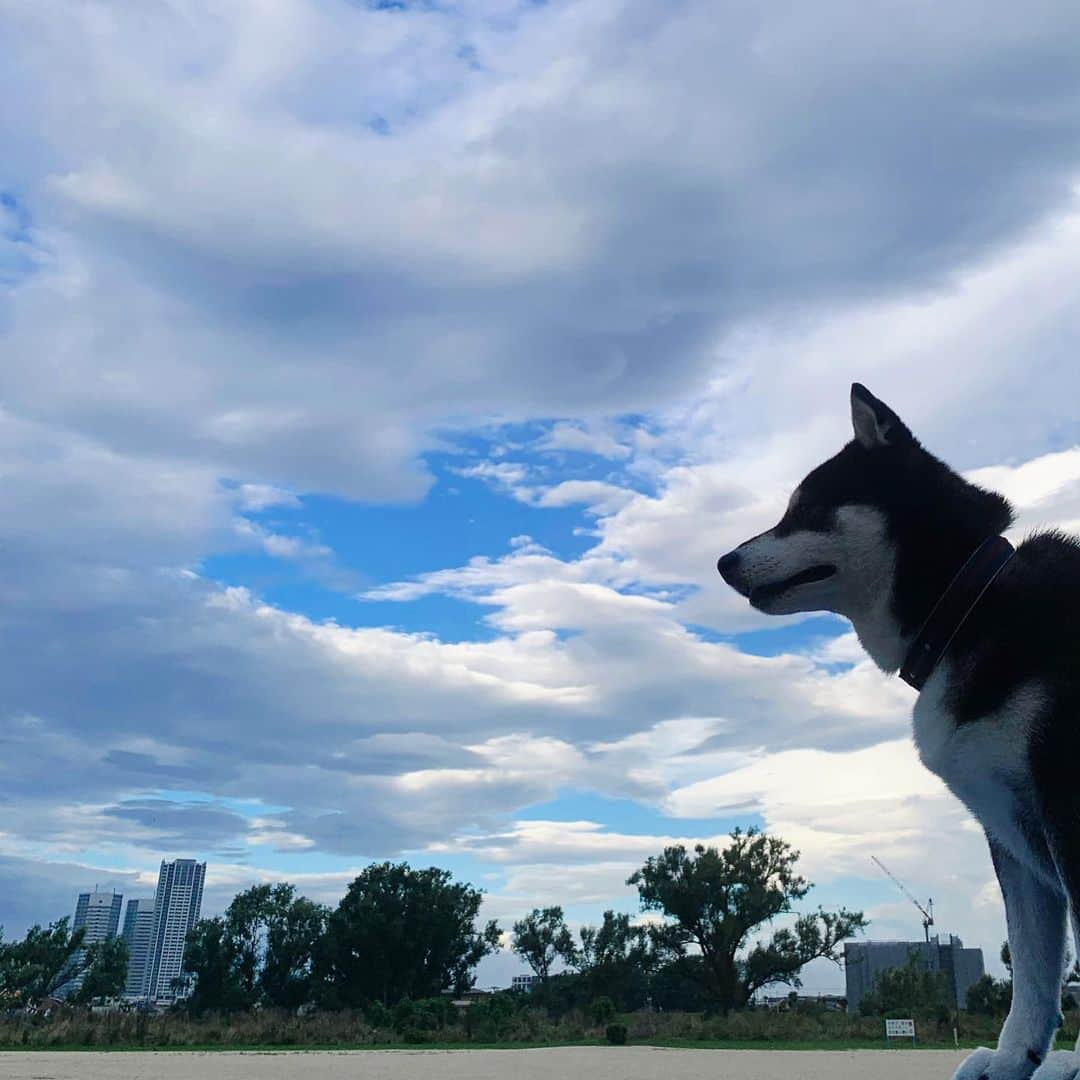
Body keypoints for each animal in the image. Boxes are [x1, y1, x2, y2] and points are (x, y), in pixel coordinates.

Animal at [721, 384, 1080, 1075]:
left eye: (806, 509)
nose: (724, 561)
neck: (966, 606)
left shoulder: (1061, 805)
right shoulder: (1010, 832)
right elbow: (1032, 967)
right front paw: (1012, 1059)